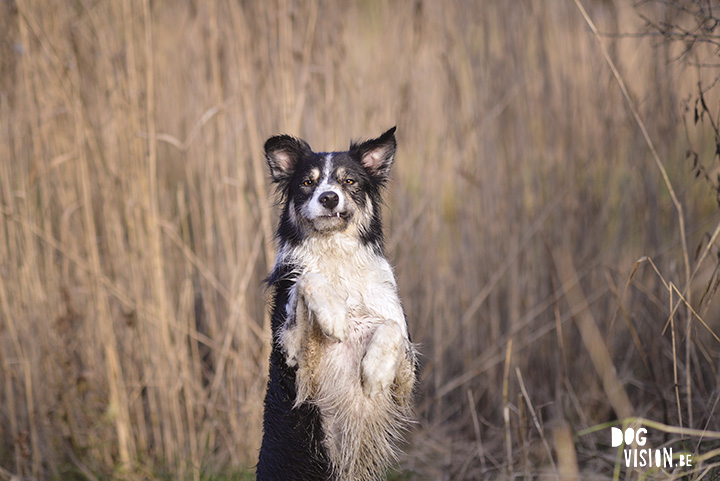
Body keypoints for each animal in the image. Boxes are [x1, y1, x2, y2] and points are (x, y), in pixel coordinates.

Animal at [258, 127, 416, 480]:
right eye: (307, 182)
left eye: (349, 181)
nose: (329, 197)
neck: (335, 252)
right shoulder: (298, 361)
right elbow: (308, 279)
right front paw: (334, 315)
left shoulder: (405, 380)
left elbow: (392, 328)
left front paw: (375, 370)